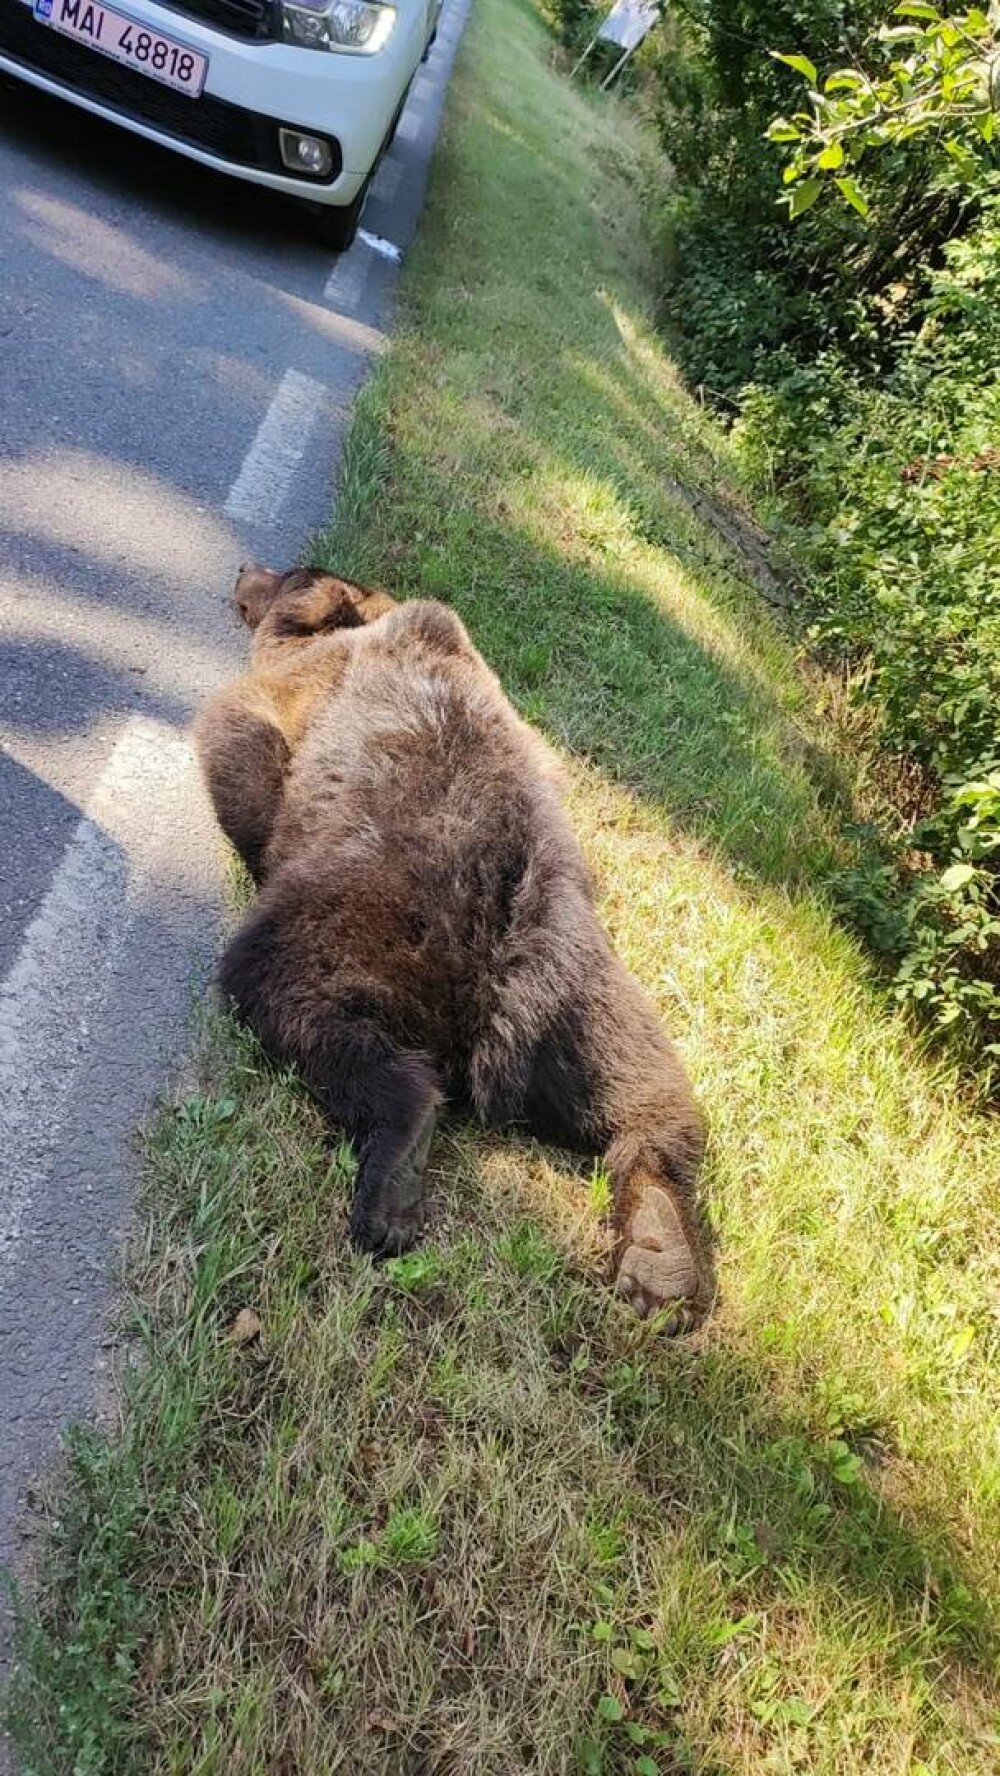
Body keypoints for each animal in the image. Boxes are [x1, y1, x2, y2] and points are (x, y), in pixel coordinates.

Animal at [195, 564, 706, 1321]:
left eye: (287, 573)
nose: (244, 570)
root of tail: (507, 976)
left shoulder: (306, 683)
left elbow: (239, 731)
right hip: (595, 1003)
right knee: (649, 1100)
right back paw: (659, 1258)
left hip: (350, 923)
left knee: (301, 1004)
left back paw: (391, 1183)